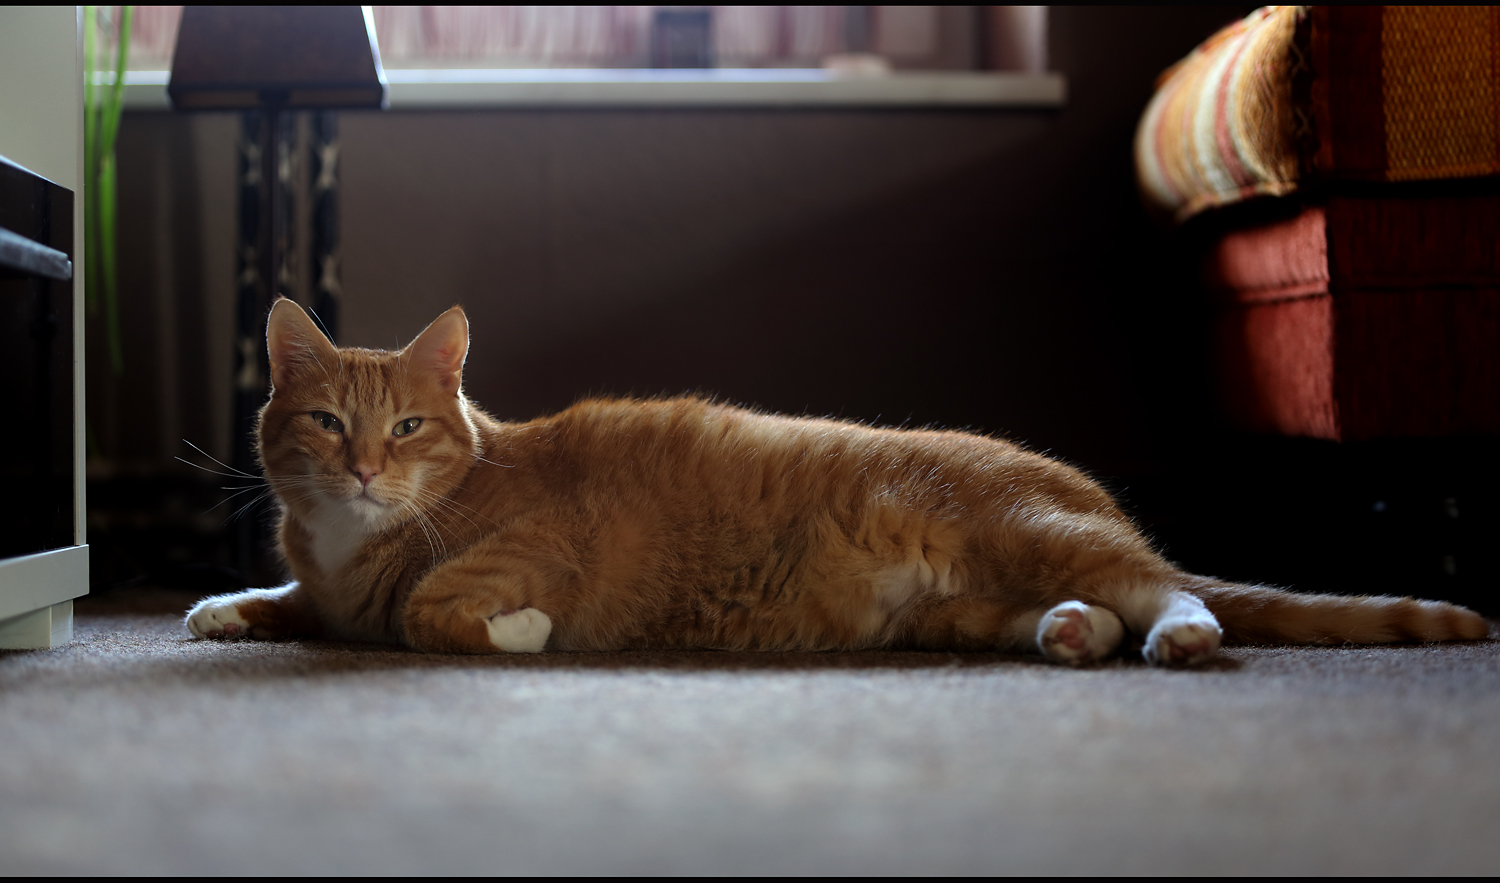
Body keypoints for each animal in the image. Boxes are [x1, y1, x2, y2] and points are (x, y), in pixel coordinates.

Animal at [187, 298, 1488, 659]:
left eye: (408, 427)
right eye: (327, 424)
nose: (363, 467)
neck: (350, 540)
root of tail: (1096, 497)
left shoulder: (525, 549)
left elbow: (426, 606)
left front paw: (515, 632)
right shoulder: (324, 587)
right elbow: (302, 604)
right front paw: (225, 607)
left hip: (1040, 532)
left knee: (1176, 593)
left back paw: (1176, 632)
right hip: (973, 605)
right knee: (1096, 609)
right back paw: (1072, 634)